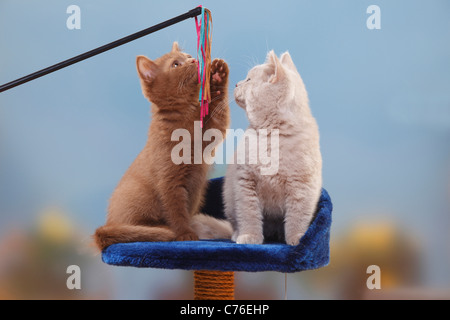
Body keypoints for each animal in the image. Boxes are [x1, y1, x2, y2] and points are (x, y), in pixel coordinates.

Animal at [93, 42, 230, 250]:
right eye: (175, 64)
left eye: (187, 55)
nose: (194, 60)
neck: (186, 116)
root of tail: (106, 227)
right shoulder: (169, 181)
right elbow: (176, 210)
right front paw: (185, 233)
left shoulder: (211, 131)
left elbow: (219, 114)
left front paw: (218, 74)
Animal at [223, 50, 322, 245]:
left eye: (248, 79)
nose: (237, 83)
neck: (271, 136)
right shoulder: (244, 181)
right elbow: (248, 213)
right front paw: (250, 236)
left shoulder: (303, 185)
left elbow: (298, 215)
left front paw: (298, 238)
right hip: (229, 200)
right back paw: (238, 234)